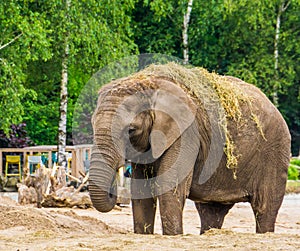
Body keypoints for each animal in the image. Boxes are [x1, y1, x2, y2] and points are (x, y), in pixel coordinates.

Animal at [88, 62, 290, 235]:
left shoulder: (187, 132)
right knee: (211, 211)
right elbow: (141, 190)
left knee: (265, 207)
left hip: (275, 150)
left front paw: (173, 236)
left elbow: (170, 186)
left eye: (130, 130)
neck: (149, 83)